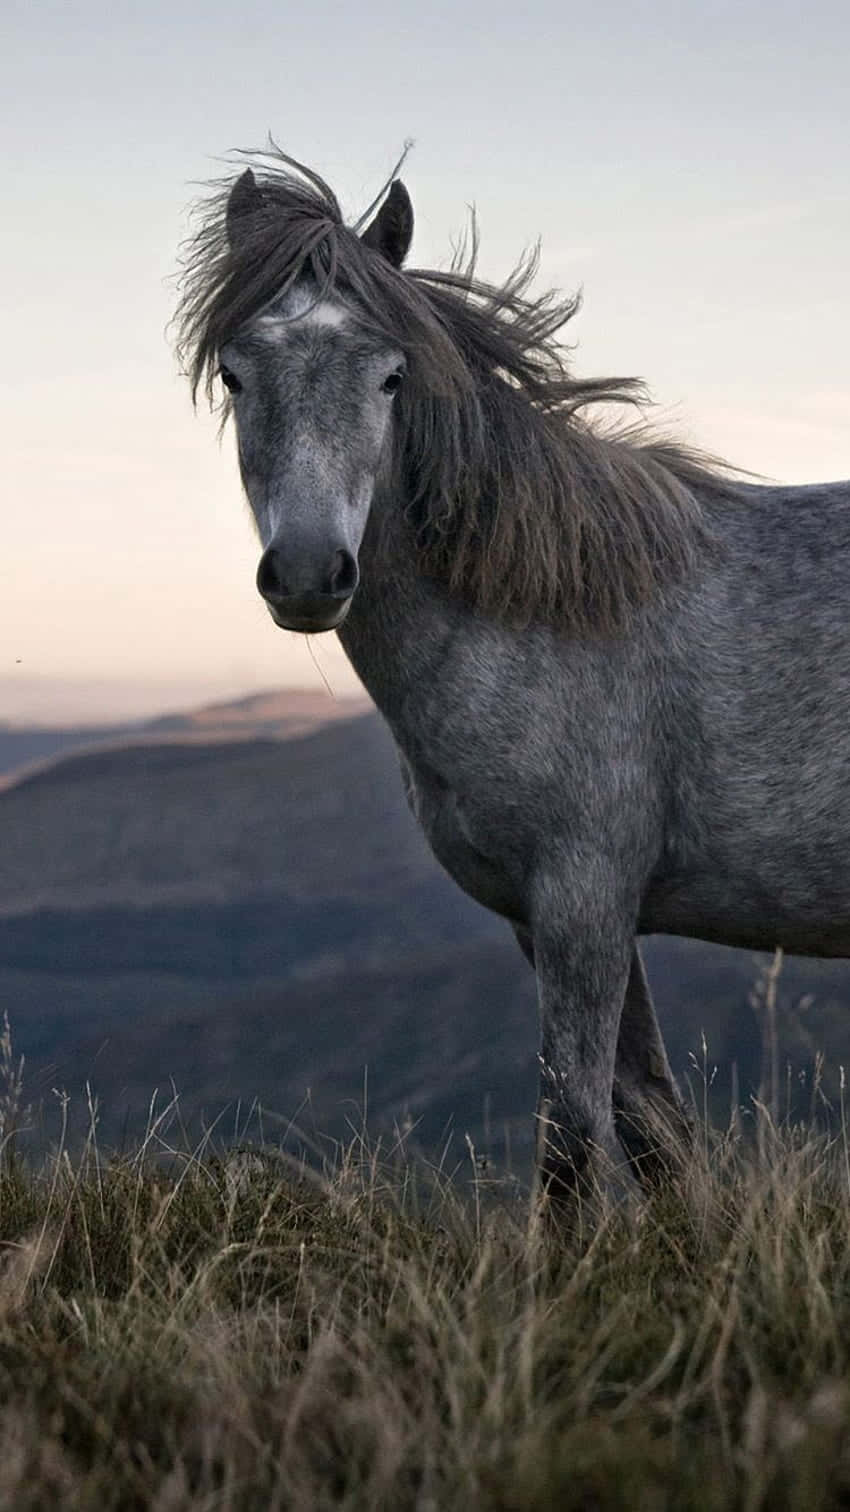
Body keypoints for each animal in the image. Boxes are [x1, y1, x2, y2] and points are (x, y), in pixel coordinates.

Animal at [175, 150, 840, 1215]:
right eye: (237, 374)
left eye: (391, 375)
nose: (311, 574)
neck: (550, 609)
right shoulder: (555, 917)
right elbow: (653, 1127)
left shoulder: (583, 904)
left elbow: (570, 1141)